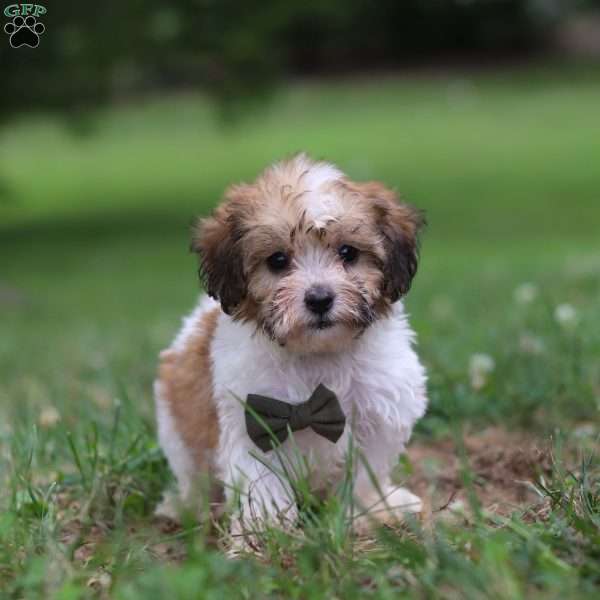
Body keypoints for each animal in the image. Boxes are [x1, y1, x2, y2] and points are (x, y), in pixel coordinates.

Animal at [155, 154, 426, 536]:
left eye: (348, 252)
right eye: (278, 261)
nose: (319, 298)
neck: (317, 355)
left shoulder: (379, 412)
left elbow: (365, 472)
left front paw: (365, 512)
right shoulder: (253, 419)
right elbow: (262, 480)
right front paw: (265, 531)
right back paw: (189, 507)